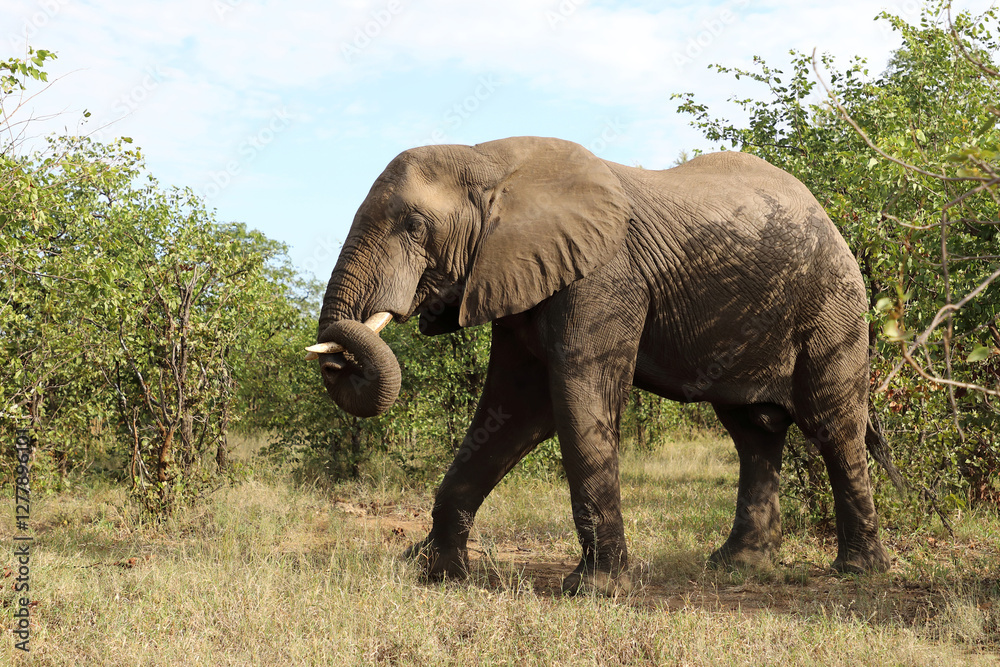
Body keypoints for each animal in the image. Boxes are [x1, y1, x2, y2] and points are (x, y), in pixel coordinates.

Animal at [309, 136, 897, 594]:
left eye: (414, 224)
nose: (340, 356)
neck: (491, 162)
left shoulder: (603, 278)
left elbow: (576, 399)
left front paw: (593, 590)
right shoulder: (524, 279)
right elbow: (511, 413)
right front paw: (433, 572)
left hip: (833, 306)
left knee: (832, 425)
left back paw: (858, 572)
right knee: (753, 433)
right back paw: (738, 567)